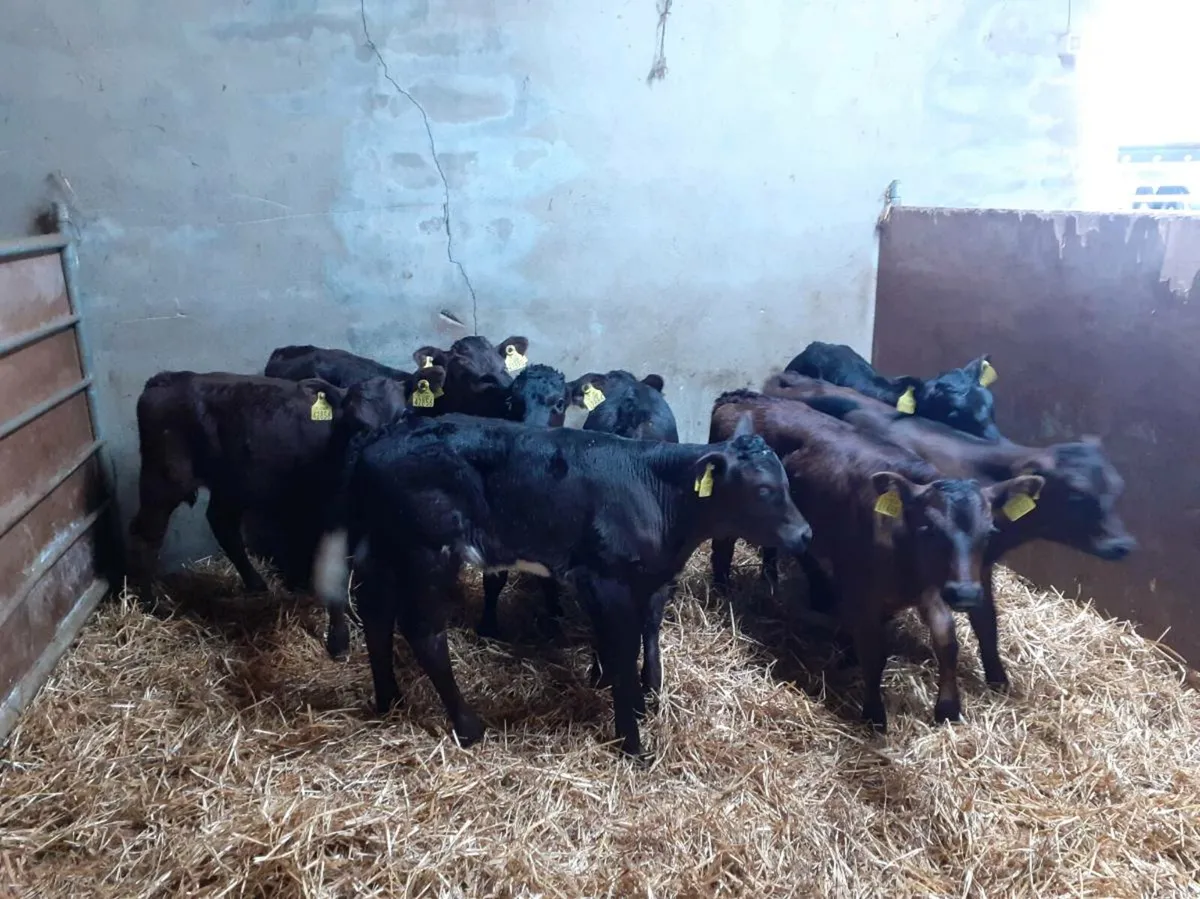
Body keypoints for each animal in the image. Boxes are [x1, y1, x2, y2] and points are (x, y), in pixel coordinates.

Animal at [127, 368, 438, 607]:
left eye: (403, 415)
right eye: (353, 420)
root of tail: (167, 378)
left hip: (232, 482)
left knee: (222, 524)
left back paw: (256, 584)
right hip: (163, 479)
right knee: (145, 535)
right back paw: (150, 602)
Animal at [311, 413, 812, 758]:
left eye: (787, 482)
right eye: (763, 490)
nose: (805, 534)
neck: (656, 495)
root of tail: (381, 436)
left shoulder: (639, 583)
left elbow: (636, 642)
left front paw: (637, 704)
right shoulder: (610, 582)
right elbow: (621, 653)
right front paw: (633, 743)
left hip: (383, 550)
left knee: (377, 614)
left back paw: (389, 699)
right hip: (427, 551)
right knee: (423, 631)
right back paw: (468, 726)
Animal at [708, 391, 1042, 732]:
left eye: (989, 532)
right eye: (929, 528)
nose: (965, 593)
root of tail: (742, 397)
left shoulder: (931, 588)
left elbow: (947, 641)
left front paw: (948, 708)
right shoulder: (864, 593)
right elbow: (874, 653)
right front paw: (874, 715)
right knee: (722, 548)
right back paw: (723, 591)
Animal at [801, 393, 1136, 692]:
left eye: (1118, 487)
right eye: (1077, 494)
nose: (1123, 544)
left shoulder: (979, 567)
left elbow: (987, 623)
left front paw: (999, 680)